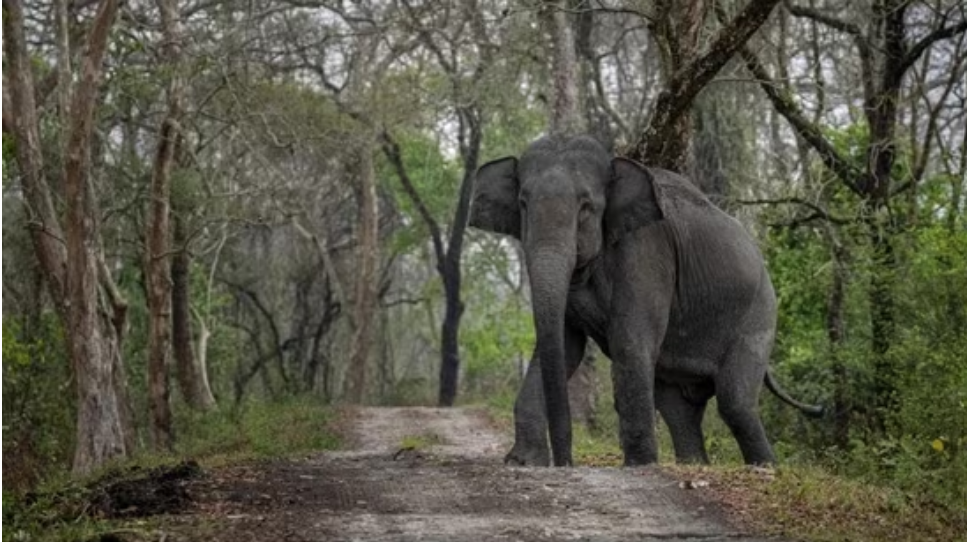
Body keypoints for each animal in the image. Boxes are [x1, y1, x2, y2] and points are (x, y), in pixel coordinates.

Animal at [469, 135, 822, 467]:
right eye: (523, 204)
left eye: (586, 207)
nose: (566, 462)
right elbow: (565, 347)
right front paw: (522, 462)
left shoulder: (646, 251)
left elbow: (628, 341)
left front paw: (640, 465)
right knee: (678, 407)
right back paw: (694, 464)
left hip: (759, 315)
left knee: (735, 402)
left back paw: (765, 468)